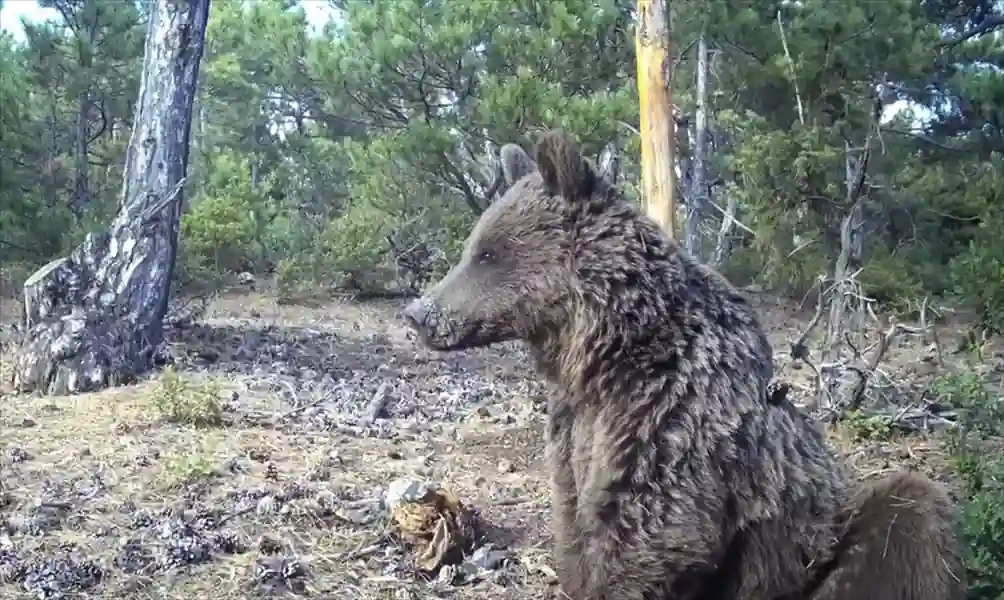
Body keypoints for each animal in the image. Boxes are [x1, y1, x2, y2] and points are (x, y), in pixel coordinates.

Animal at [399, 129, 963, 597]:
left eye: (487, 253)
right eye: (475, 246)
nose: (419, 313)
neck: (607, 352)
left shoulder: (670, 412)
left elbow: (651, 529)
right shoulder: (575, 423)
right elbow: (576, 520)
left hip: (820, 541)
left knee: (907, 515)